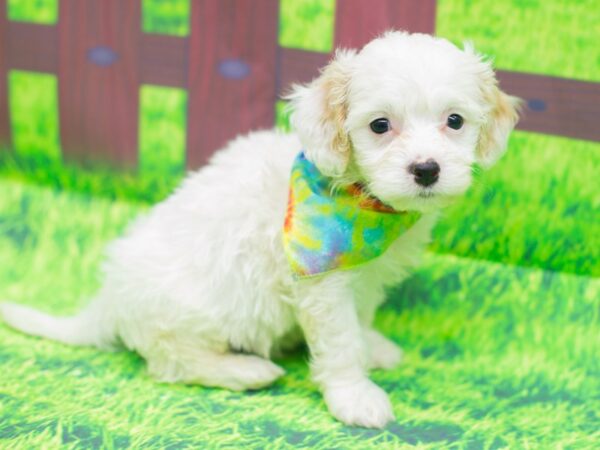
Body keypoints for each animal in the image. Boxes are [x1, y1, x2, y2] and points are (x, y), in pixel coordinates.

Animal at [0, 32, 516, 428]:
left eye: (455, 121)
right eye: (380, 125)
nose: (426, 169)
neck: (362, 203)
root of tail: (108, 302)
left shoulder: (365, 274)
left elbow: (362, 318)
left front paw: (374, 346)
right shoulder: (320, 282)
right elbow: (341, 341)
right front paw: (355, 396)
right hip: (188, 315)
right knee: (170, 362)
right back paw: (246, 371)